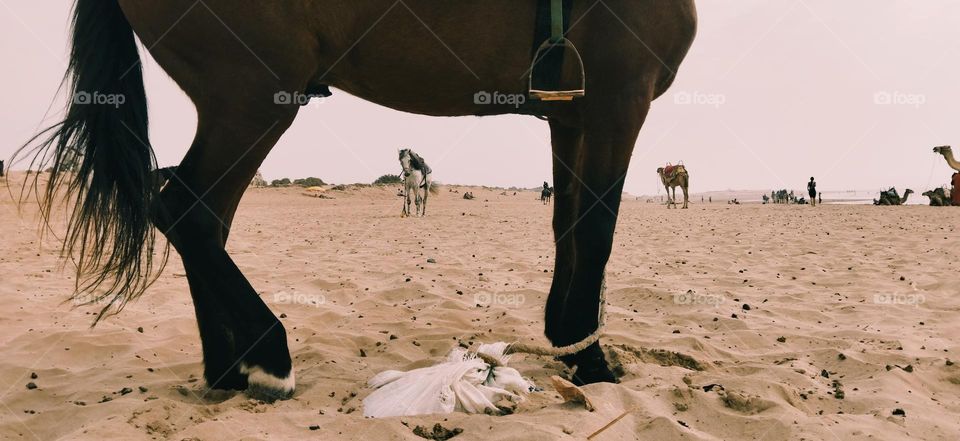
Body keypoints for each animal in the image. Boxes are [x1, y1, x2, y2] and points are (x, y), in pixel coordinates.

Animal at [20, 0, 696, 398]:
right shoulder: (618, 98)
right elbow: (597, 229)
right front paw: (591, 358)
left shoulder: (571, 113)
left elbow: (567, 227)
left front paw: (564, 338)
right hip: (253, 93)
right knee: (191, 211)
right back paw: (268, 357)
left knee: (201, 221)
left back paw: (228, 369)